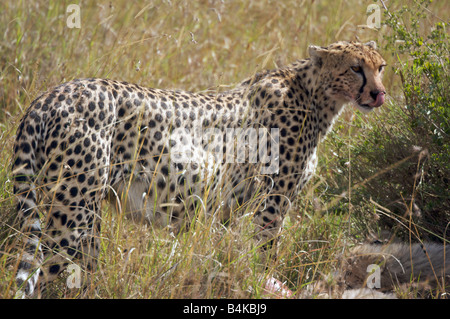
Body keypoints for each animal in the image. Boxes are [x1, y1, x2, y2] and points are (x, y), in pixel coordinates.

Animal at [11, 40, 386, 298]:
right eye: (355, 68)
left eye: (380, 67)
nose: (379, 94)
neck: (316, 95)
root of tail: (51, 95)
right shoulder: (270, 205)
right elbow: (265, 256)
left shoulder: (231, 209)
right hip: (72, 217)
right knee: (40, 274)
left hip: (80, 218)